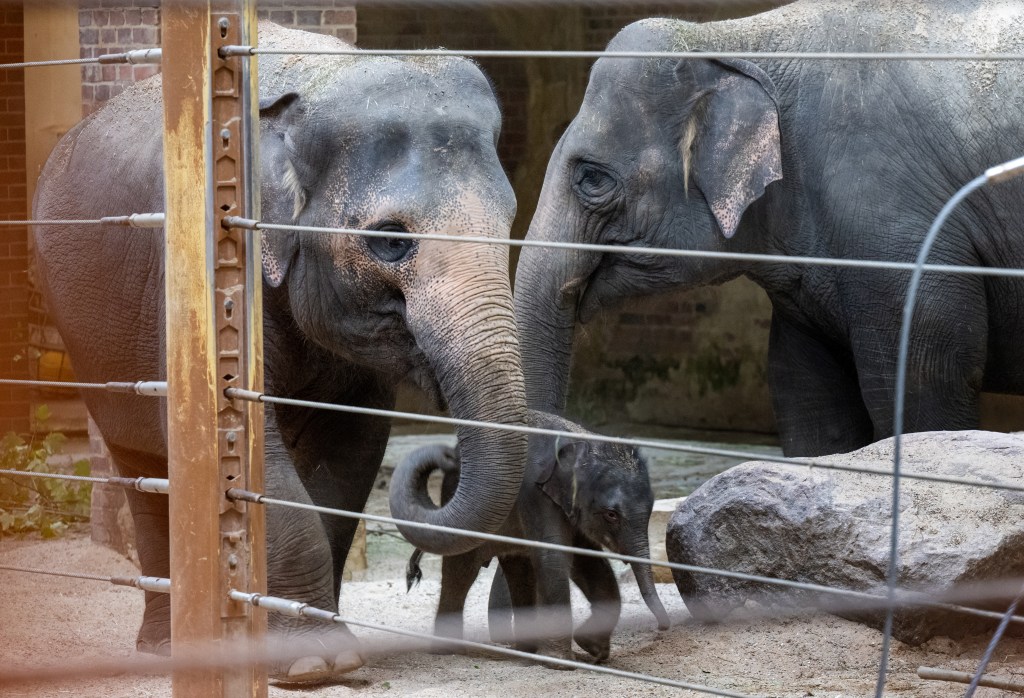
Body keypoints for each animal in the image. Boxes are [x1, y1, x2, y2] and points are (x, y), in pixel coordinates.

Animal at [33, 21, 528, 679]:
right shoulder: (210, 281)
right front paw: (312, 665)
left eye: (510, 224)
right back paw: (166, 650)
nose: (443, 454)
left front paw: (315, 652)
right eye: (391, 241)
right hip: (92, 348)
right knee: (142, 469)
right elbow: (251, 448)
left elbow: (350, 455)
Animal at [393, 411, 671, 659]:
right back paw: (447, 650)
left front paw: (594, 650)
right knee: (460, 570)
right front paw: (560, 662)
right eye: (612, 515)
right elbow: (554, 557)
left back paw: (526, 651)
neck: (580, 442)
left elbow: (590, 562)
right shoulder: (536, 495)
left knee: (519, 570)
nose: (661, 627)